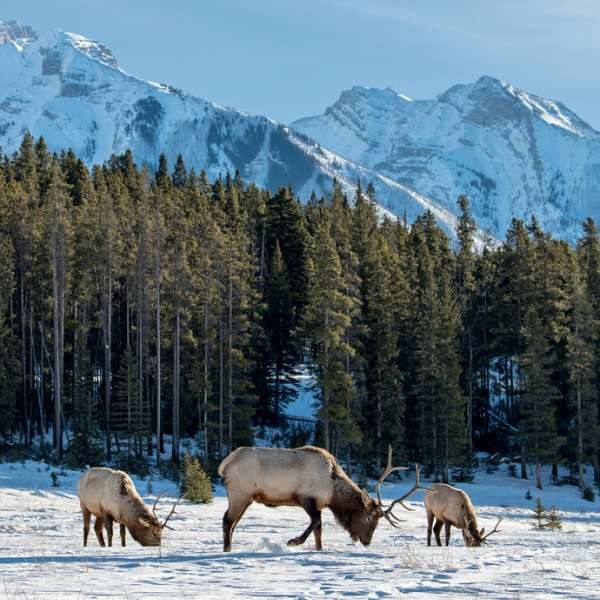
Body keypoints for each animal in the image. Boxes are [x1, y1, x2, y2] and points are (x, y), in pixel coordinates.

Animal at [217, 442, 422, 552]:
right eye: (370, 518)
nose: (367, 542)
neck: (333, 492)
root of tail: (224, 464)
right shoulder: (306, 498)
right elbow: (315, 522)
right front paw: (293, 541)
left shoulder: (318, 504)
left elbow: (319, 529)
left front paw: (319, 549)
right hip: (240, 493)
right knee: (227, 520)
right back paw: (227, 550)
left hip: (246, 498)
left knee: (233, 523)